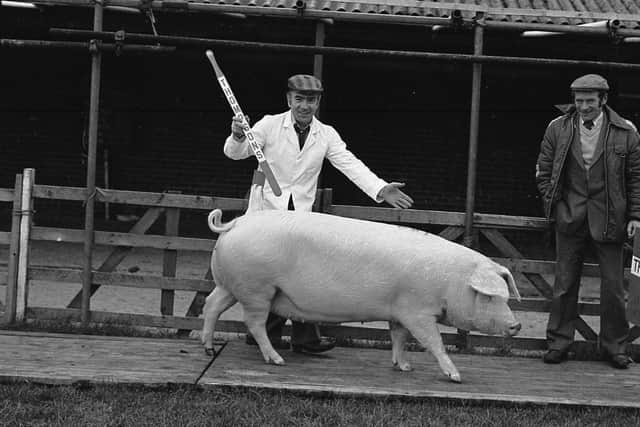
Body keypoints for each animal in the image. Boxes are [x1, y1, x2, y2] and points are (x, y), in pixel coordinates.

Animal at [202, 209, 524, 382]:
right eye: (491, 297)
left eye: (506, 296)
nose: (517, 324)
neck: (450, 282)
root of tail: (236, 223)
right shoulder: (418, 310)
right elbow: (434, 342)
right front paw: (455, 376)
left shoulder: (399, 311)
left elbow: (398, 338)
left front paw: (404, 367)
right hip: (257, 288)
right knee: (254, 323)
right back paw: (277, 360)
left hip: (232, 285)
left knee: (210, 305)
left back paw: (207, 348)